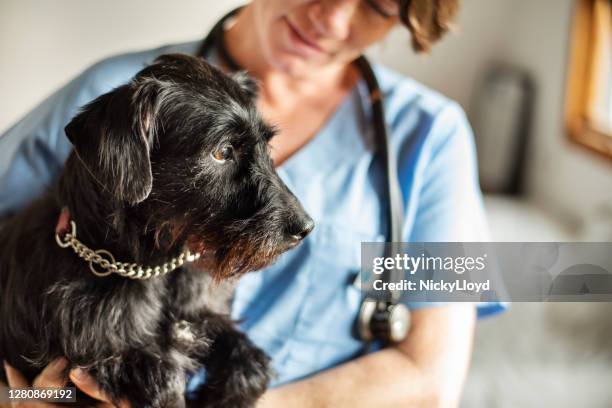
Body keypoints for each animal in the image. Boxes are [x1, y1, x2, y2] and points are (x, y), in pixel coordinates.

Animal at [0, 54, 314, 408]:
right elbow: (163, 380)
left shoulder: (200, 320)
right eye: (223, 152)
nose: (305, 228)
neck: (155, 267)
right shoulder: (111, 358)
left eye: (267, 145)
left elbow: (251, 363)